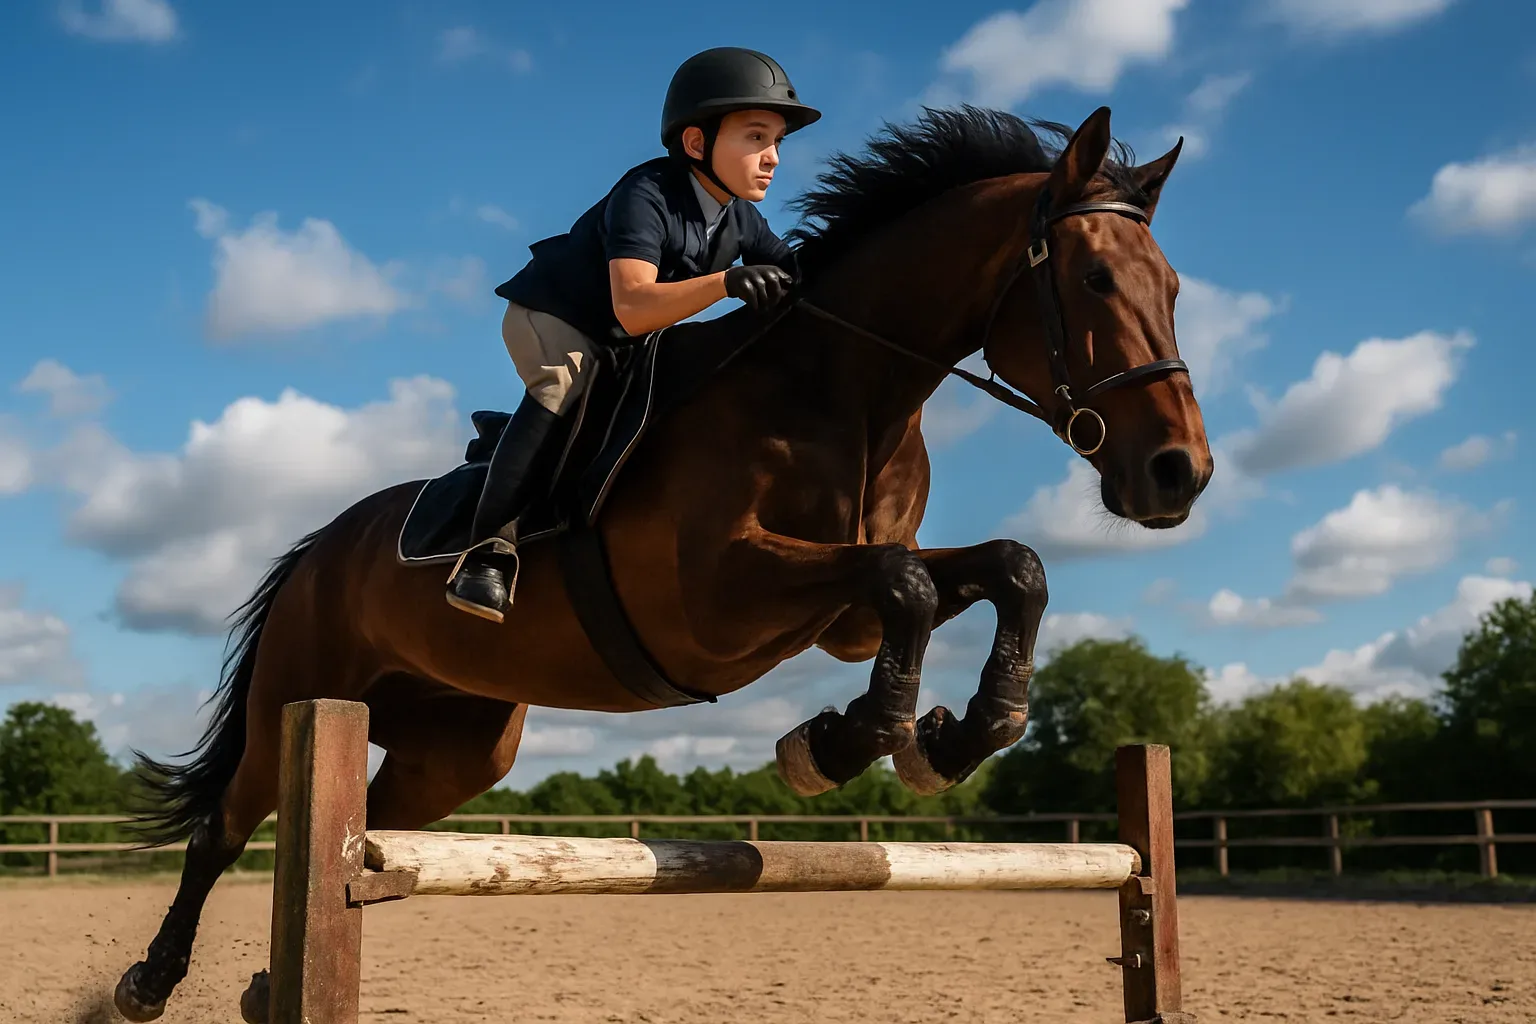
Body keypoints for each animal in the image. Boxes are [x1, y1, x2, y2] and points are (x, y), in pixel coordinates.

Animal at [112, 104, 1211, 1022]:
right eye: (1095, 281)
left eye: (1173, 288)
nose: (1179, 473)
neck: (848, 389)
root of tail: (321, 546)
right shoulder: (717, 602)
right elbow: (903, 580)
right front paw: (844, 745)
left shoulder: (843, 615)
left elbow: (1005, 567)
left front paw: (947, 737)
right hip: (298, 701)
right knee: (225, 829)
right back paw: (149, 982)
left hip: (458, 748)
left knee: (371, 836)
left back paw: (269, 984)